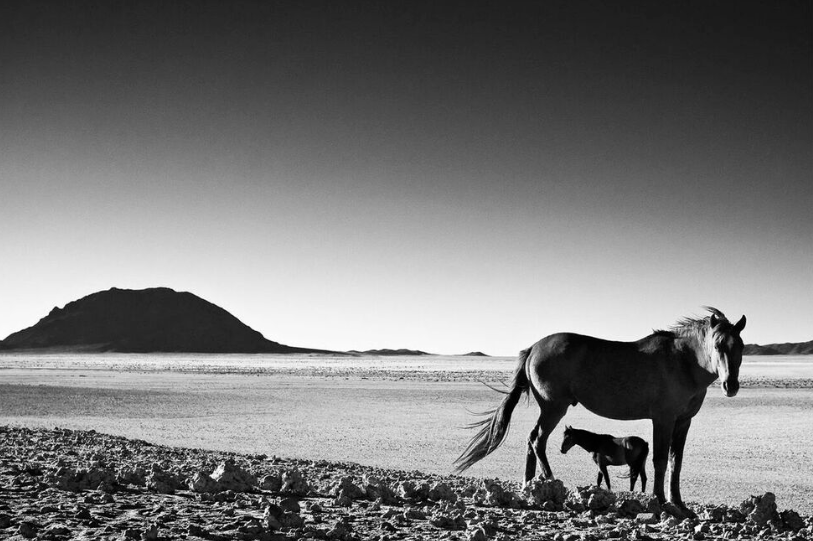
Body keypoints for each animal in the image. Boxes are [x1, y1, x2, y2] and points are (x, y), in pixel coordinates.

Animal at [454, 307, 746, 512]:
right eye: (717, 345)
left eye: (740, 347)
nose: (731, 386)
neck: (683, 361)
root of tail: (534, 347)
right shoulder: (663, 419)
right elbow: (661, 460)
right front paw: (661, 500)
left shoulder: (683, 421)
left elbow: (677, 461)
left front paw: (680, 503)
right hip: (553, 408)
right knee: (537, 440)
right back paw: (549, 481)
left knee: (531, 440)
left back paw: (529, 486)